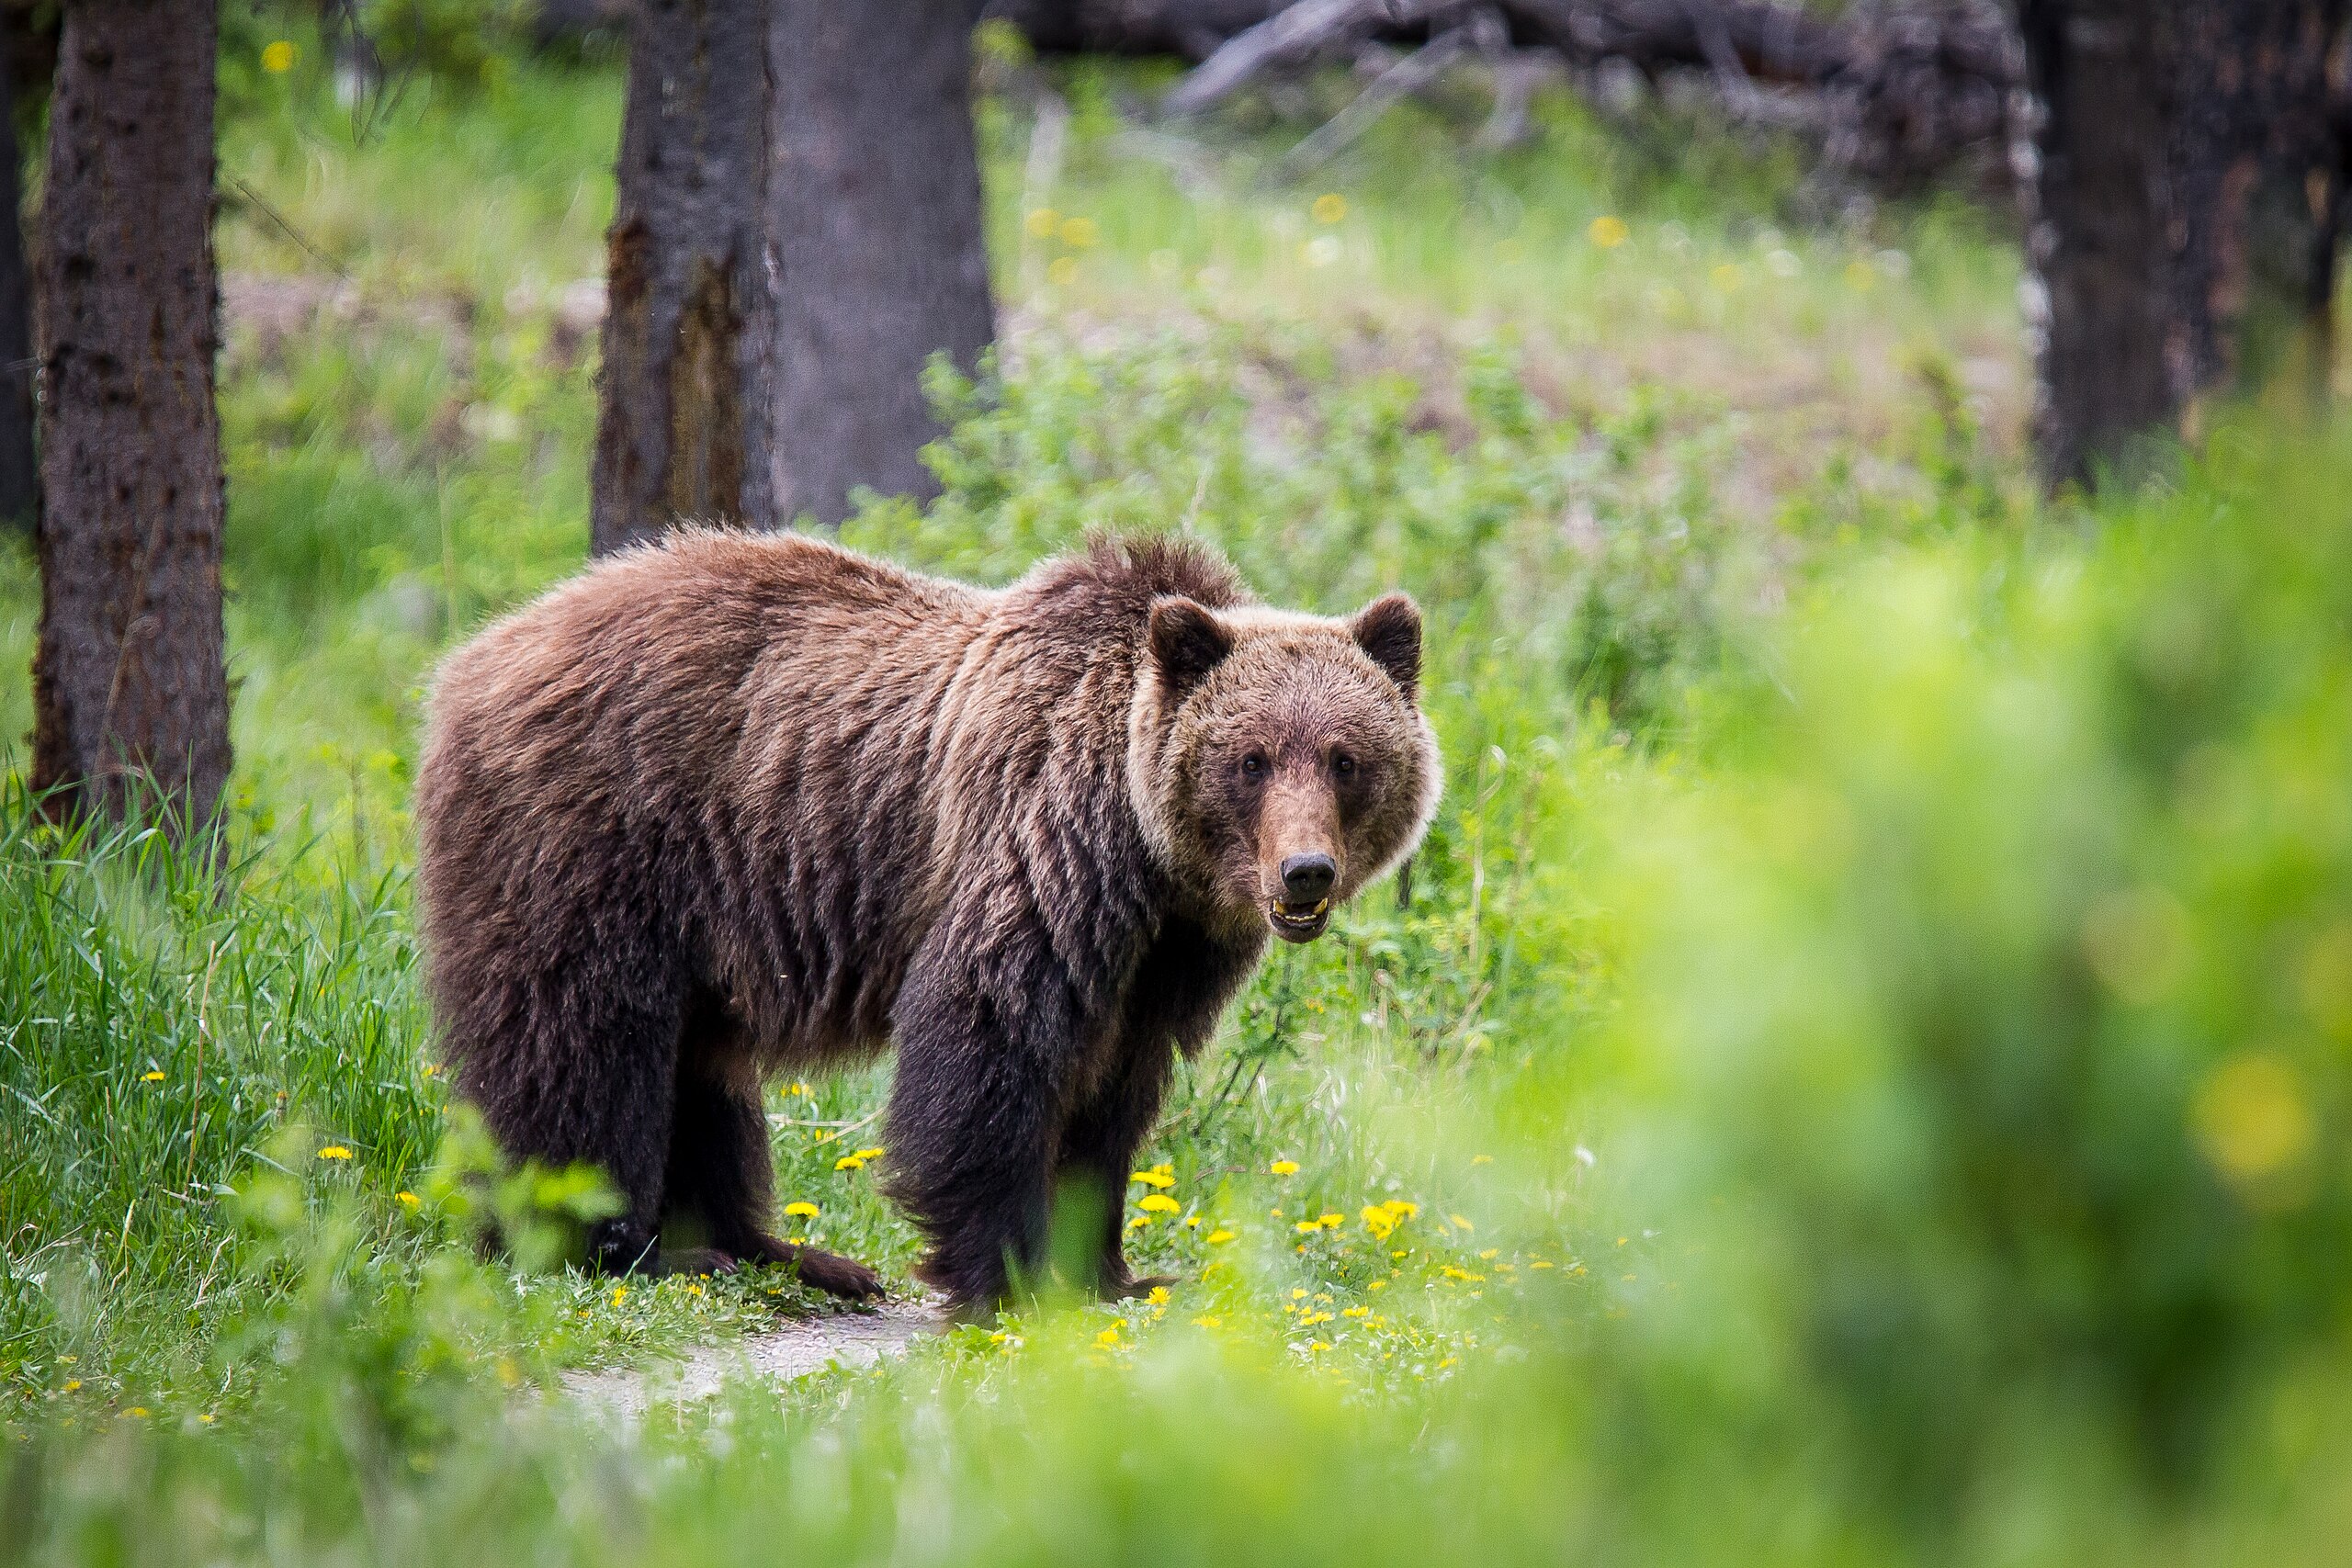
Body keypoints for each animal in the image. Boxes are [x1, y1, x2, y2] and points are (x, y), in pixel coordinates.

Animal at [412, 529, 1441, 1313]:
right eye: (1251, 758)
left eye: (1345, 757)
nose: (1304, 872)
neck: (1148, 855)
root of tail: (474, 656)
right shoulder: (1039, 848)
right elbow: (987, 1037)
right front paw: (1009, 1274)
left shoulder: (1163, 956)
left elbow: (1113, 1096)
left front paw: (1116, 1270)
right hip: (597, 839)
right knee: (582, 1041)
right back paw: (616, 1244)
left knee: (701, 1070)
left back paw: (788, 1254)